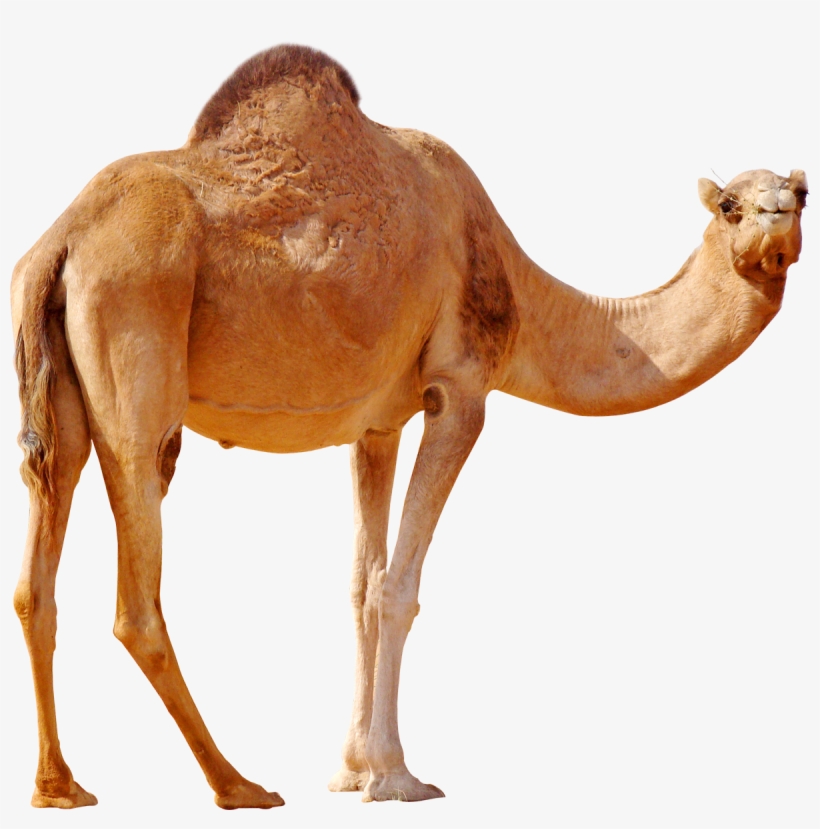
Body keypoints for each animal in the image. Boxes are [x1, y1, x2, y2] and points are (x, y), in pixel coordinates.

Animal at [11, 44, 807, 810]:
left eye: (800, 194)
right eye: (730, 204)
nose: (776, 219)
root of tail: (60, 241)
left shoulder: (377, 426)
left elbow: (361, 584)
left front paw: (350, 770)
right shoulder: (459, 390)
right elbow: (399, 586)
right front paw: (395, 777)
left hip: (60, 394)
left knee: (35, 573)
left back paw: (61, 786)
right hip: (137, 350)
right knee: (136, 595)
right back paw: (238, 785)